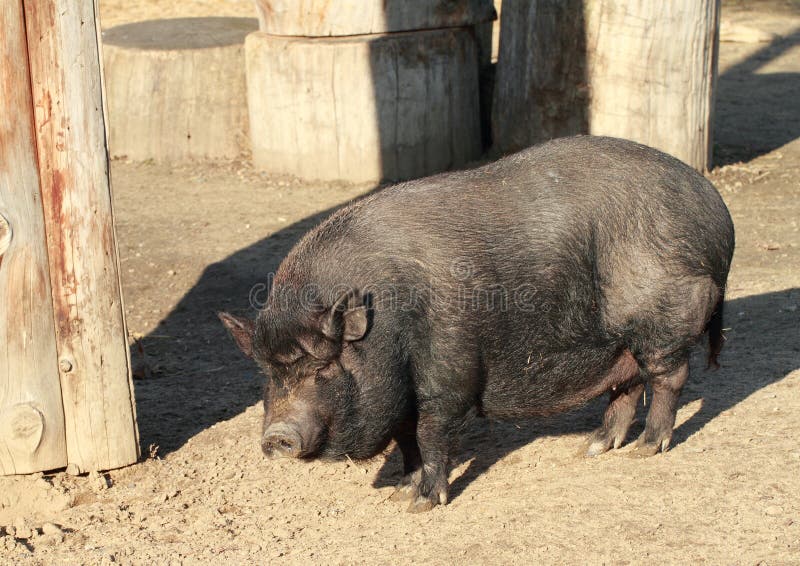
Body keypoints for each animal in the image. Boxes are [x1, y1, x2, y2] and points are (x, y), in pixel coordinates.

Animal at [220, 135, 735, 513]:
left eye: (323, 368)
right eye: (269, 373)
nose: (276, 436)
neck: (388, 326)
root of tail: (717, 212)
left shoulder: (447, 376)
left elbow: (431, 434)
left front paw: (423, 505)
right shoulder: (402, 395)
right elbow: (406, 439)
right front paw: (402, 492)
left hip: (663, 320)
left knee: (668, 378)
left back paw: (648, 448)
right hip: (619, 341)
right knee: (625, 385)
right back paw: (593, 448)